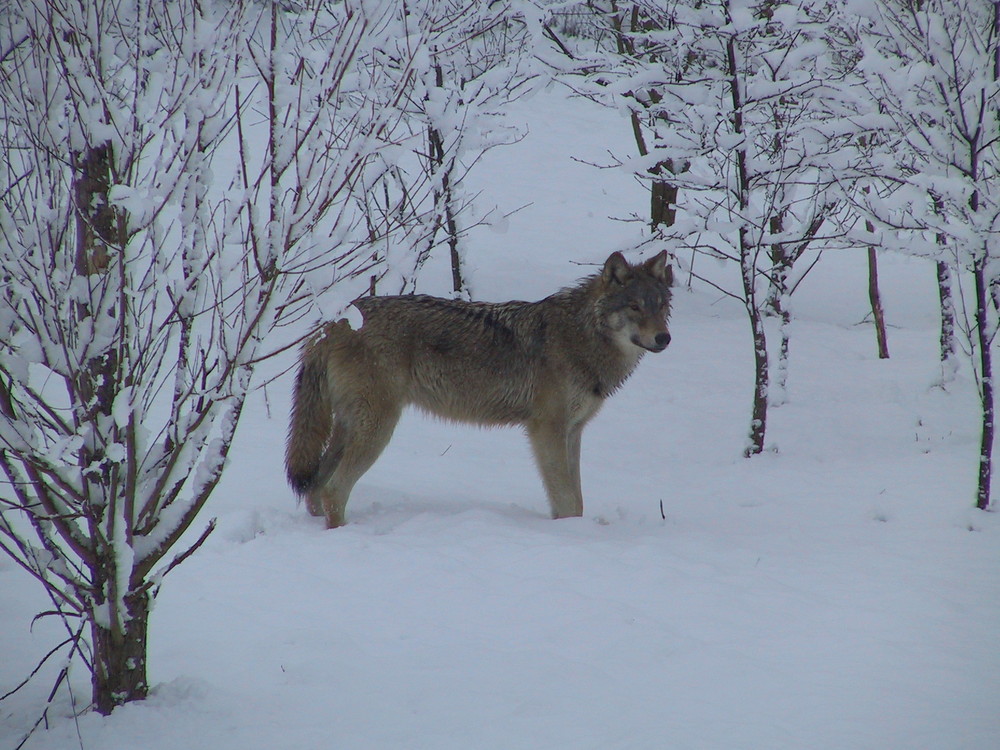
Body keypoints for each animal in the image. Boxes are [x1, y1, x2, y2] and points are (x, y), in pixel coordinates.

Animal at [284, 253, 672, 528]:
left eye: (661, 306)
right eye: (634, 307)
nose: (664, 338)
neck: (581, 337)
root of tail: (333, 321)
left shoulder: (573, 432)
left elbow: (576, 499)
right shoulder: (546, 430)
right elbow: (567, 500)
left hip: (349, 428)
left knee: (315, 488)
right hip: (377, 429)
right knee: (334, 489)